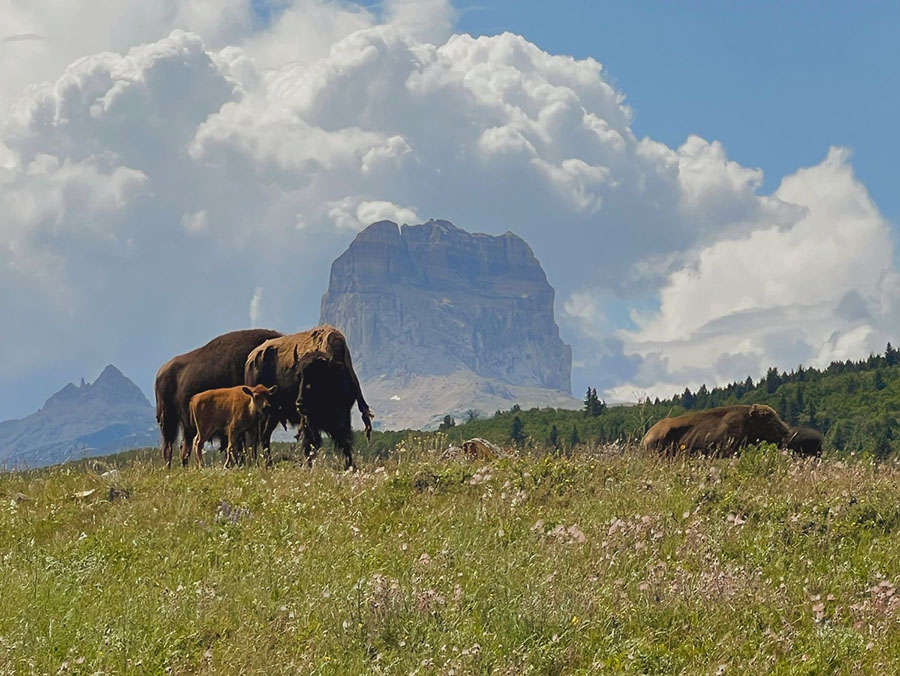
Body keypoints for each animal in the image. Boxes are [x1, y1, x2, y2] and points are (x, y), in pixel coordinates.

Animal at [153, 328, 282, 468]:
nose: (267, 407)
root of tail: (161, 372)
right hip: (168, 420)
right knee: (169, 447)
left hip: (188, 426)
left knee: (185, 447)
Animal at [243, 322, 372, 460]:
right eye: (298, 376)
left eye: (320, 376)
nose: (299, 403)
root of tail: (251, 358)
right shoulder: (309, 423)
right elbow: (310, 446)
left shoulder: (343, 418)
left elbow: (345, 445)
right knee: (255, 439)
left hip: (273, 415)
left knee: (264, 436)